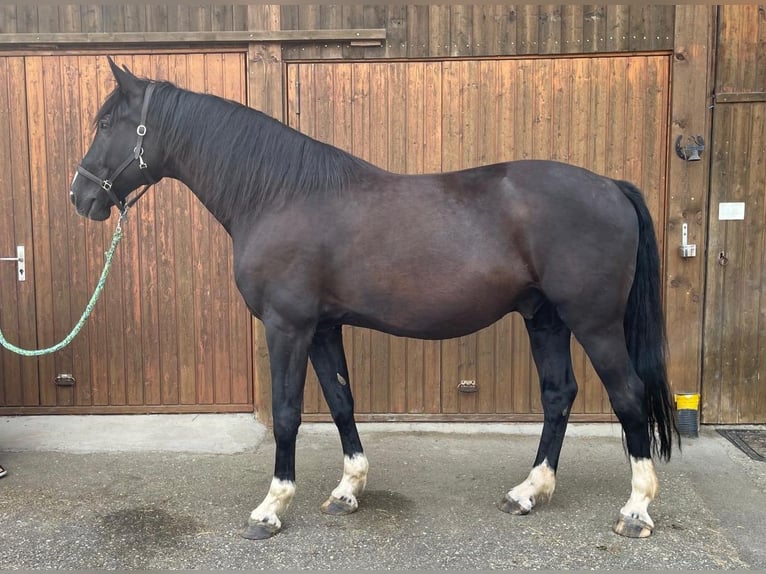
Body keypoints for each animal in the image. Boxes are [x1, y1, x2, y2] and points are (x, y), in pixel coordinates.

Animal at [69, 57, 676, 540]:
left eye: (106, 124)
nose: (80, 196)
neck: (280, 195)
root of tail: (611, 186)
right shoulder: (322, 326)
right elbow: (341, 401)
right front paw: (347, 490)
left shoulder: (286, 325)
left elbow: (287, 412)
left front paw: (271, 508)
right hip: (544, 317)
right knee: (558, 394)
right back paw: (528, 492)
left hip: (594, 322)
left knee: (627, 395)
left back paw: (636, 509)